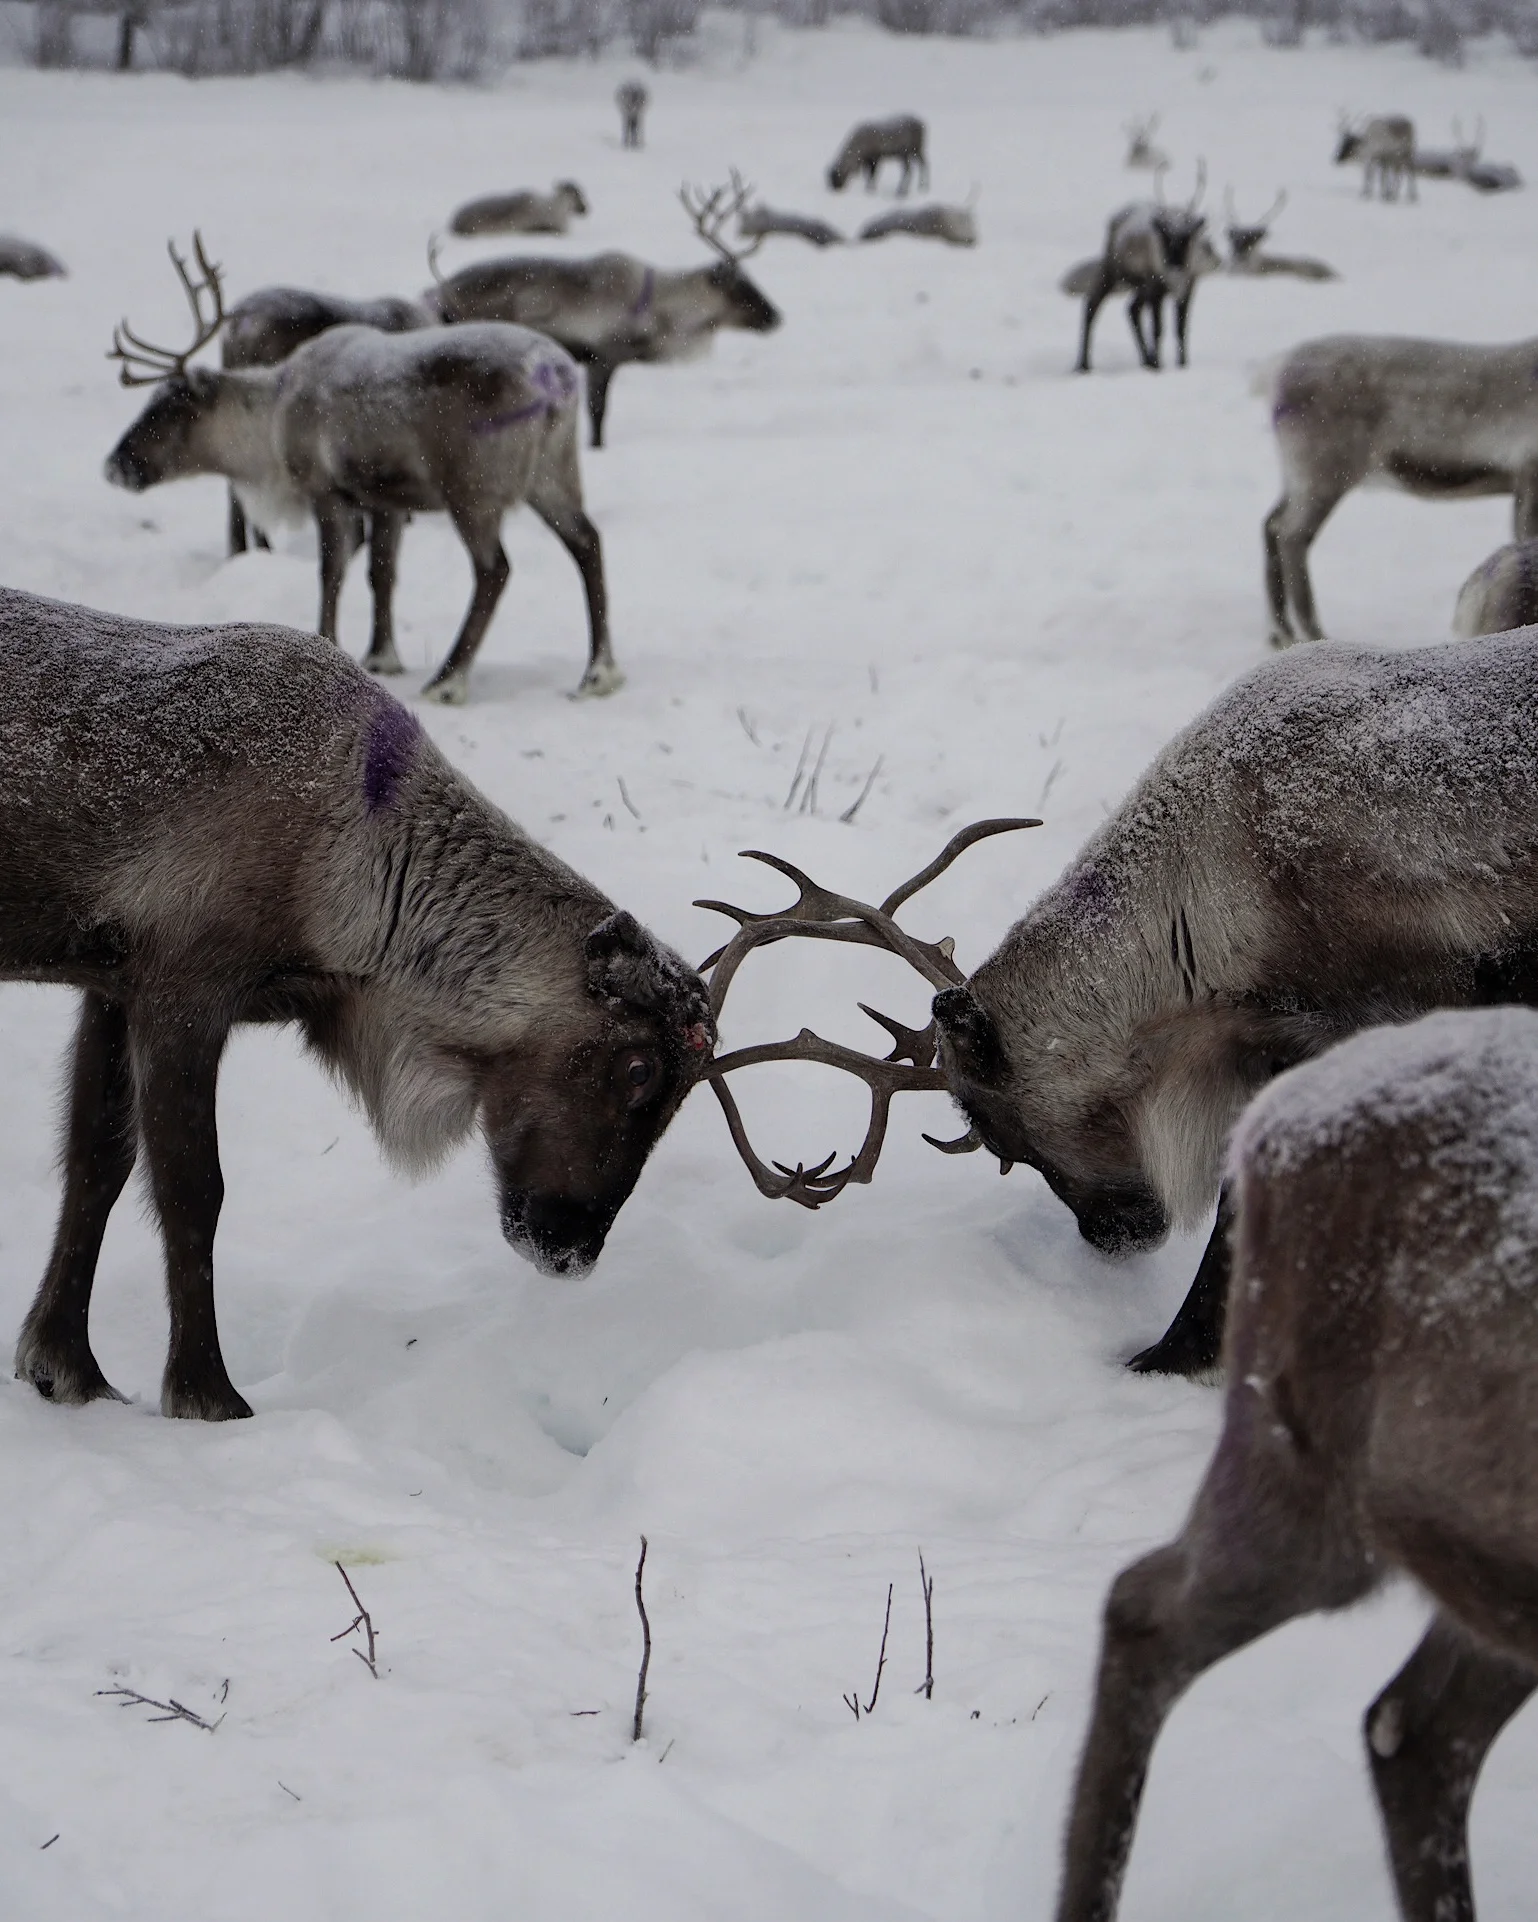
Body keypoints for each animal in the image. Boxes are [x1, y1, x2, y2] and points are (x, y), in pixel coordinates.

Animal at [0, 583, 713, 1422]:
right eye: (638, 1070)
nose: (571, 1250)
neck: (350, 878)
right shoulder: (182, 991)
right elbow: (192, 1192)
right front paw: (208, 1395)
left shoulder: (111, 985)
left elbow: (95, 1164)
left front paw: (63, 1364)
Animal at [1073, 163, 1218, 373]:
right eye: (1164, 236)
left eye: (1187, 237)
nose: (1173, 266)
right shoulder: (1155, 286)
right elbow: (1158, 329)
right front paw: (1159, 365)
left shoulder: (1189, 286)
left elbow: (1181, 329)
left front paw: (1182, 365)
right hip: (1112, 271)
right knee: (1092, 304)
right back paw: (1083, 365)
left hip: (1139, 286)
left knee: (1132, 309)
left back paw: (1146, 360)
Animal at [1261, 331, 1538, 646]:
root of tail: (1274, 372)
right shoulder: (1529, 471)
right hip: (1323, 472)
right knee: (1291, 534)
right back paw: (1311, 634)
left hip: (1297, 476)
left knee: (1271, 524)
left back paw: (1280, 633)